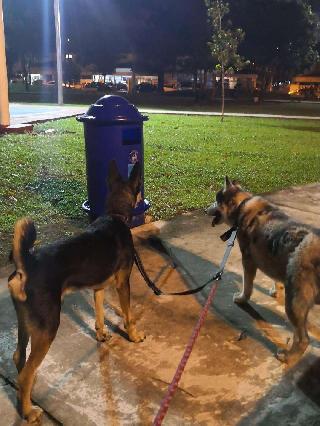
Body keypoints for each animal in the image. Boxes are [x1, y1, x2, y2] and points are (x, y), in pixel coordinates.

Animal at [7, 159, 145, 422]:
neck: (115, 215)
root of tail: (27, 264)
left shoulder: (99, 286)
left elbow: (99, 312)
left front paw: (101, 334)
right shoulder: (123, 283)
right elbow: (128, 314)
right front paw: (133, 335)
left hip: (24, 321)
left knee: (19, 357)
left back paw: (25, 396)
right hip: (48, 328)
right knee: (24, 373)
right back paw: (29, 411)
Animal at [208, 178, 320, 364]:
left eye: (216, 201)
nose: (205, 210)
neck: (242, 204)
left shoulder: (248, 261)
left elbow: (247, 286)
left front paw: (242, 298)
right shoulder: (273, 256)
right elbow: (276, 278)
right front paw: (276, 290)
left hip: (294, 303)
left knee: (303, 339)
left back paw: (288, 357)